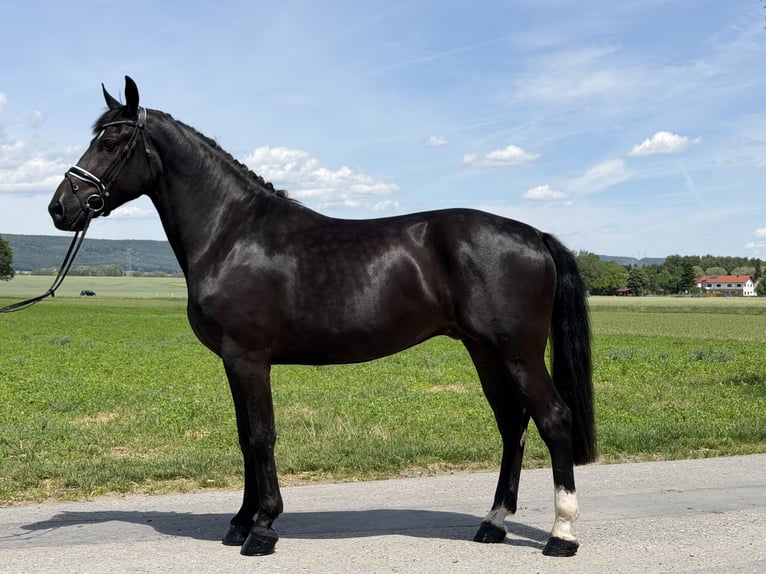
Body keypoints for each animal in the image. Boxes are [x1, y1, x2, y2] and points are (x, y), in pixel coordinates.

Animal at [48, 76, 596, 558]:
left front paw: (262, 528)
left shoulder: (248, 358)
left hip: (518, 353)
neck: (232, 233)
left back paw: (561, 535)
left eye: (111, 141)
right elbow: (245, 439)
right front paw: (240, 521)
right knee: (512, 423)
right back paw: (493, 523)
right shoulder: (232, 361)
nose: (60, 207)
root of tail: (535, 235)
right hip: (484, 351)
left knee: (553, 419)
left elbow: (260, 436)